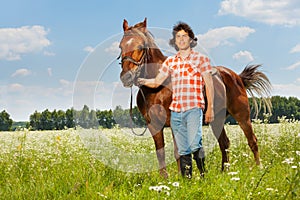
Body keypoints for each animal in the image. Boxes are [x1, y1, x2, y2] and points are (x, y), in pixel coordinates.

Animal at [118, 18, 270, 177]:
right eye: (120, 46)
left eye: (141, 46)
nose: (126, 77)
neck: (157, 88)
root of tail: (237, 77)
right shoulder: (153, 125)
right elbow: (160, 153)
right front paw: (164, 179)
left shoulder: (175, 123)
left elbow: (178, 152)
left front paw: (181, 177)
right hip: (216, 120)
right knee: (224, 143)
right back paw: (225, 171)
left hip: (242, 115)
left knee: (252, 140)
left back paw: (259, 168)